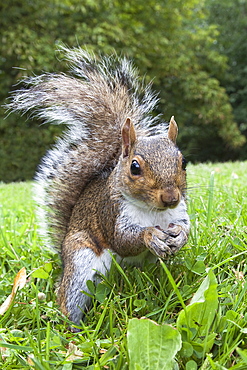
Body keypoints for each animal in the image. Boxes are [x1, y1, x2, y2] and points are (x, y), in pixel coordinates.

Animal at [8, 47, 190, 326]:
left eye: (183, 162)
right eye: (134, 167)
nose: (170, 197)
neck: (153, 212)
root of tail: (63, 259)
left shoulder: (180, 212)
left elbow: (186, 227)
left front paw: (180, 236)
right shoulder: (111, 213)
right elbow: (123, 240)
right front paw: (150, 235)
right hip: (80, 263)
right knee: (69, 297)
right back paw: (73, 328)